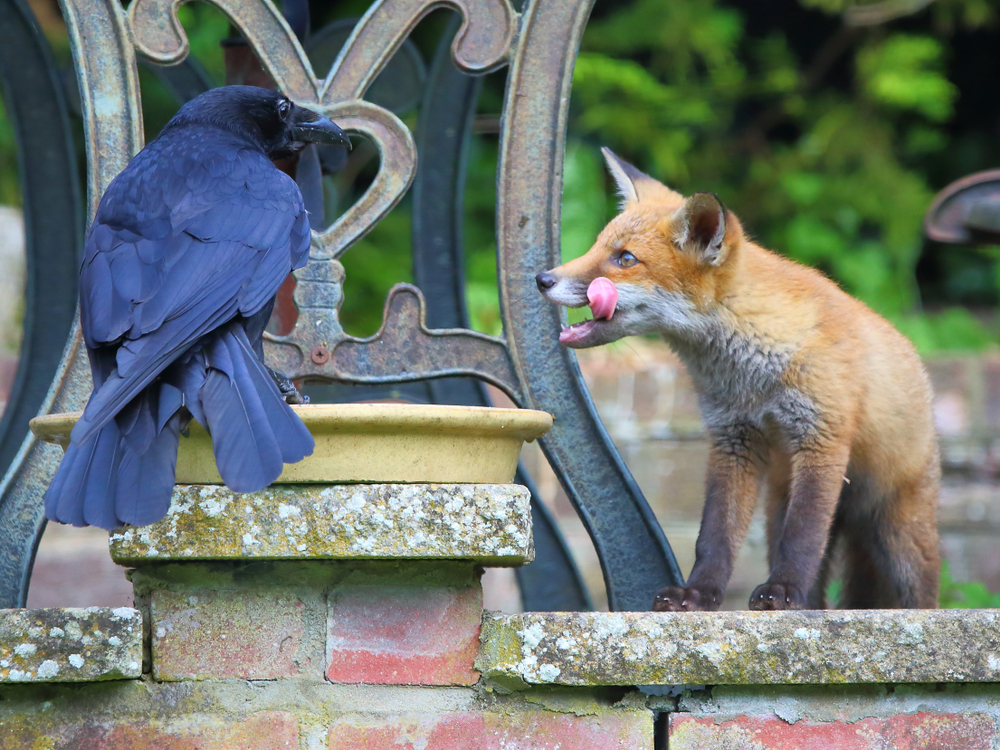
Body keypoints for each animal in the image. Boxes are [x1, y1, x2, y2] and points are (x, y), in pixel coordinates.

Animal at [536, 148, 940, 611]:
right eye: (597, 247)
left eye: (625, 259)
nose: (542, 279)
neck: (753, 377)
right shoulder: (733, 438)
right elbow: (715, 536)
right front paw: (697, 594)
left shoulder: (822, 437)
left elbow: (802, 538)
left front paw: (782, 590)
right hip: (782, 504)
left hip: (899, 539)